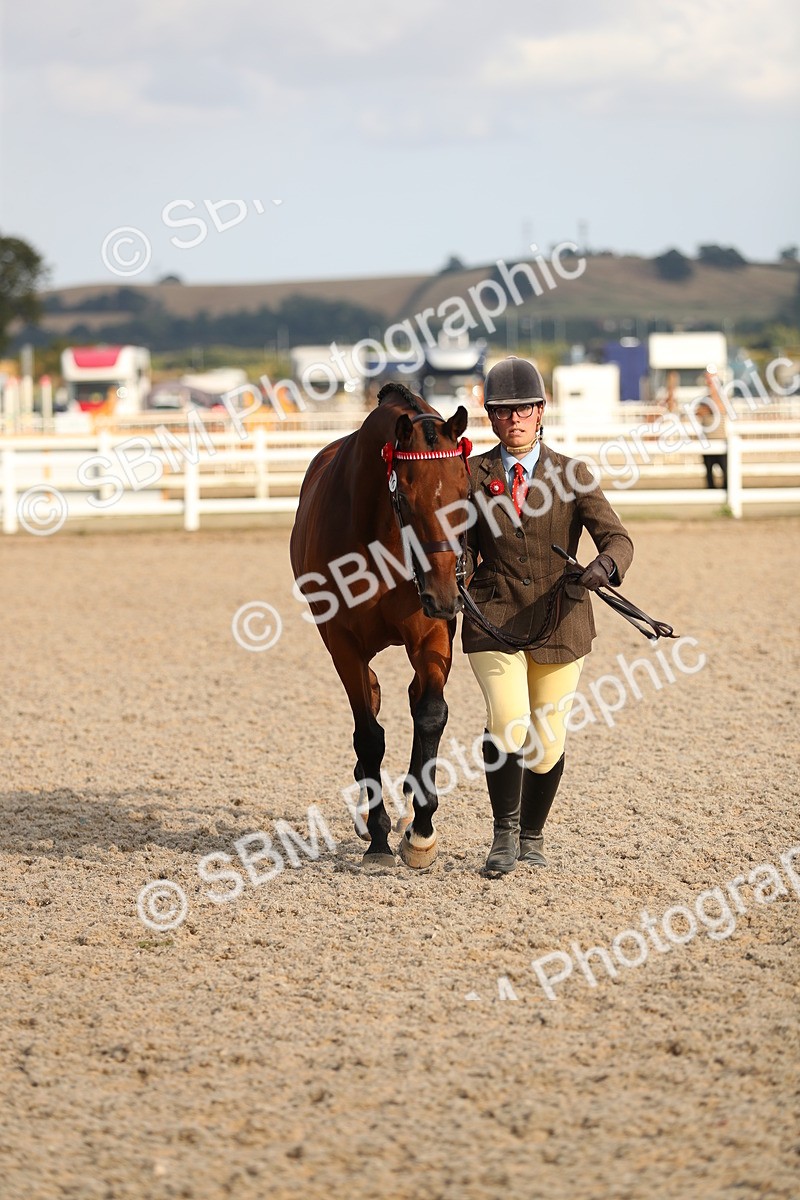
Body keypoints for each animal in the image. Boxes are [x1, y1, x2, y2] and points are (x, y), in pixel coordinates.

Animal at [290, 382, 472, 870]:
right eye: (405, 498)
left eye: (467, 491)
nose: (445, 594)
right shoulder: (343, 642)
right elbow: (369, 736)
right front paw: (377, 838)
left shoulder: (431, 635)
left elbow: (431, 715)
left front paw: (421, 832)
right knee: (370, 700)